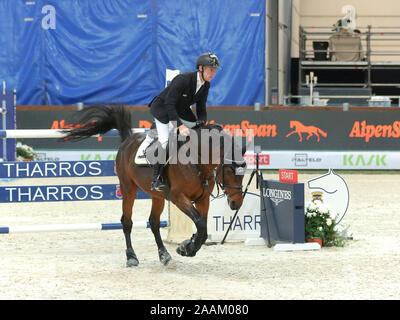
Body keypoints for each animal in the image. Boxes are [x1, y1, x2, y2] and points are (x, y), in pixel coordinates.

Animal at [61, 105, 247, 268]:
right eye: (229, 170)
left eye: (244, 171)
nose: (236, 204)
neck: (197, 161)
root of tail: (128, 140)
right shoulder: (179, 198)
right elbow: (200, 223)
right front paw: (187, 248)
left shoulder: (203, 199)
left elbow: (203, 227)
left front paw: (186, 246)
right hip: (128, 189)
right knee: (127, 221)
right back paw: (131, 257)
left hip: (157, 196)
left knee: (154, 222)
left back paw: (164, 254)